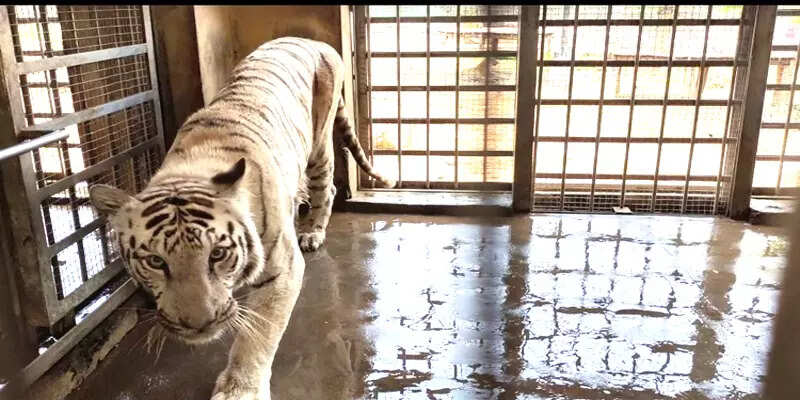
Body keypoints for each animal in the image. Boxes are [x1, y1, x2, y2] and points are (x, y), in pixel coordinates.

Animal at [88, 36, 394, 400]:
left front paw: (240, 389)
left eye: (217, 254)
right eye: (155, 261)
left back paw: (312, 233)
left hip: (320, 144)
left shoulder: (284, 271)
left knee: (328, 187)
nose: (198, 325)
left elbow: (258, 334)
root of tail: (312, 41)